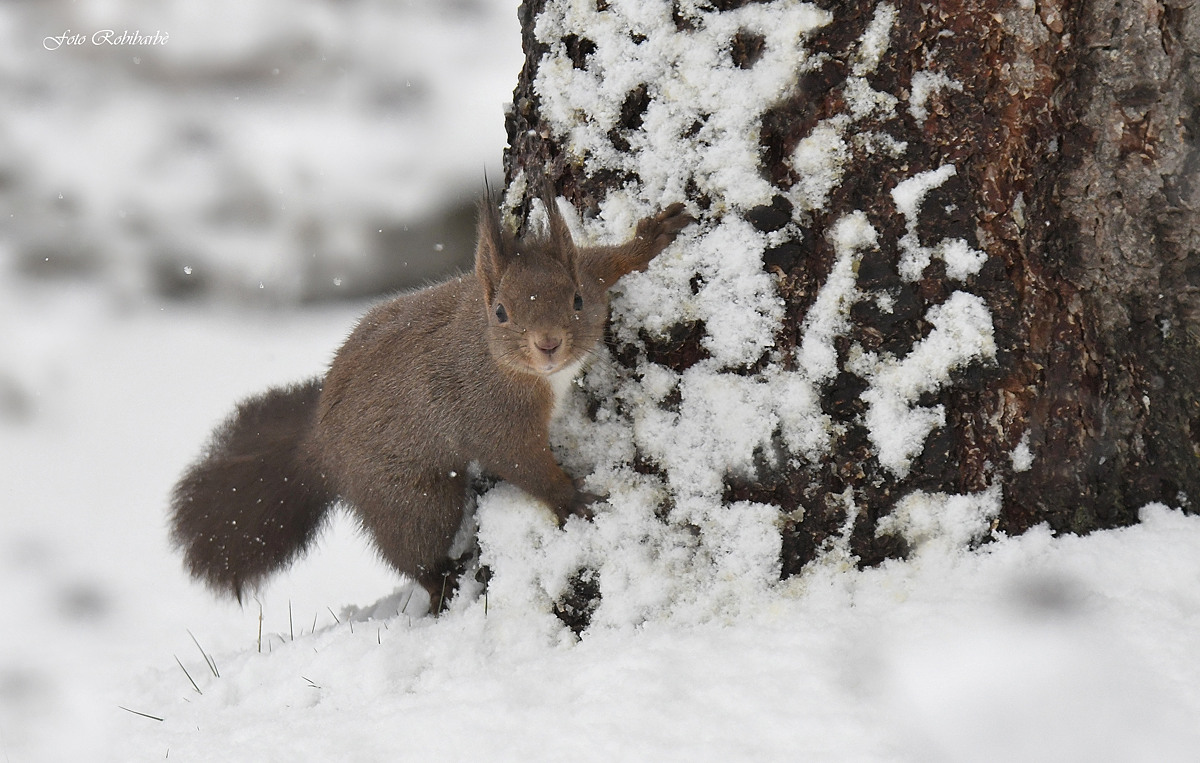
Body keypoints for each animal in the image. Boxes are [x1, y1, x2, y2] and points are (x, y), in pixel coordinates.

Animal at [169, 187, 692, 609]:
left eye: (577, 301)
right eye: (500, 312)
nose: (548, 344)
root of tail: (318, 447)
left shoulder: (590, 274)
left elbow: (607, 260)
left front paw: (655, 235)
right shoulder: (491, 414)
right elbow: (520, 463)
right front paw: (571, 497)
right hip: (414, 497)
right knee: (412, 550)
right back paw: (439, 583)